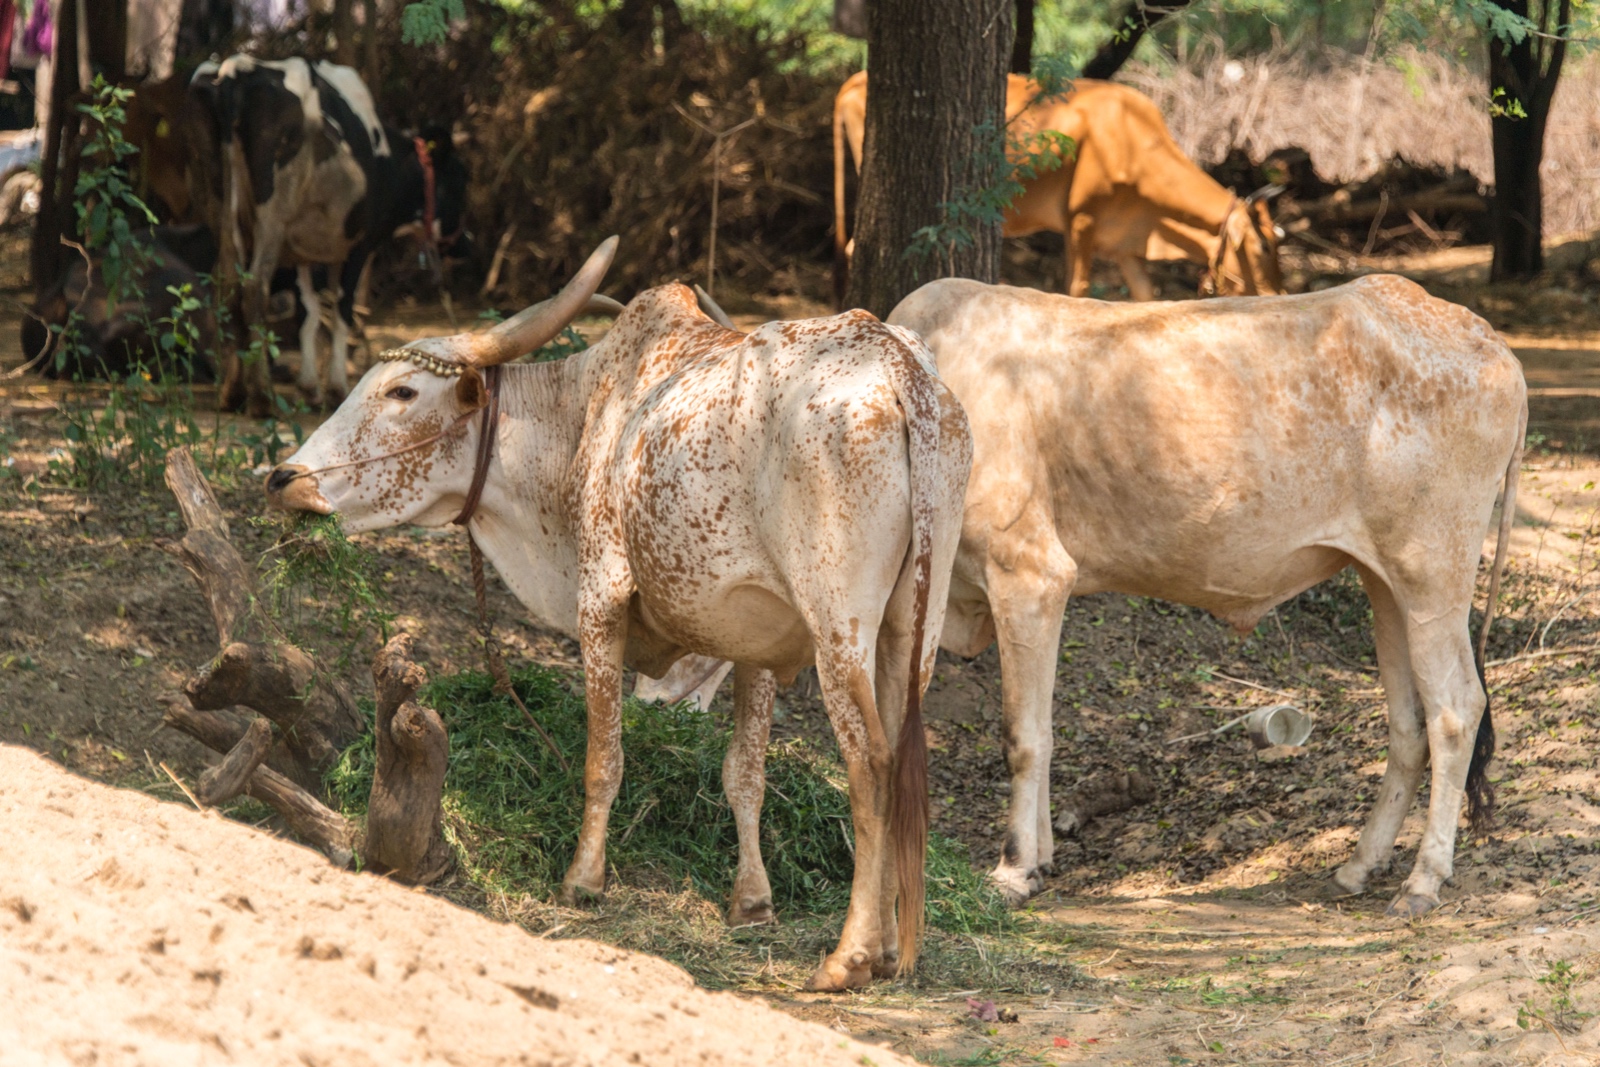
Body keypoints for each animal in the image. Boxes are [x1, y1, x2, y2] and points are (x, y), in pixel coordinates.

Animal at [186, 56, 468, 414]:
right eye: (460, 179)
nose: (467, 244)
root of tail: (236, 69)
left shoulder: (301, 251)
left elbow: (308, 311)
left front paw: (309, 387)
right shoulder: (358, 243)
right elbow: (341, 307)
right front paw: (335, 388)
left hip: (218, 207)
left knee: (228, 288)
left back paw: (232, 392)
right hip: (271, 215)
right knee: (254, 288)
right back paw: (262, 397)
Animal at [265, 239, 974, 991]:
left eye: (402, 392)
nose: (284, 478)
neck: (580, 419)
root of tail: (902, 372)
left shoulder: (600, 600)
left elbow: (602, 758)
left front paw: (583, 878)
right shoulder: (755, 642)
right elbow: (744, 774)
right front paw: (752, 901)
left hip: (839, 626)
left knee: (871, 762)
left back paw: (851, 955)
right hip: (912, 628)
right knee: (900, 760)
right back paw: (893, 947)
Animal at [686, 276, 1525, 918]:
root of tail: (1490, 342)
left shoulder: (1030, 576)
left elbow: (1022, 734)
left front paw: (1013, 868)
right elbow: (1040, 727)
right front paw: (1041, 855)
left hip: (1434, 573)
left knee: (1456, 709)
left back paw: (1422, 880)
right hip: (1385, 582)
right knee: (1408, 722)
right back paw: (1360, 865)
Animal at [832, 73, 1283, 305]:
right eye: (1260, 247)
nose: (1275, 293)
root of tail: (852, 80)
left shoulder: (1125, 245)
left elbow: (1144, 295)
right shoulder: (1080, 221)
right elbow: (1077, 289)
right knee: (854, 246)